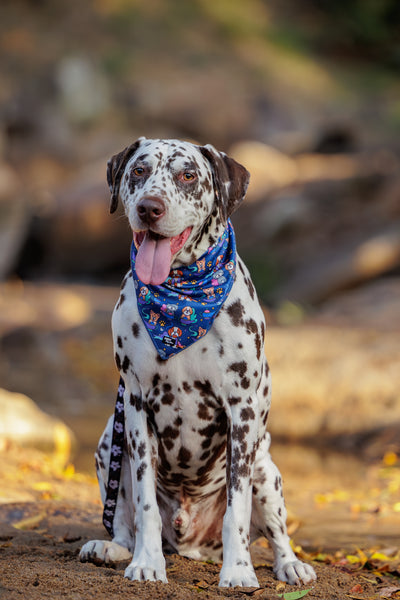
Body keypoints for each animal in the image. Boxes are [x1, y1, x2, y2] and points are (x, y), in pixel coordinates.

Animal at [79, 136, 316, 584]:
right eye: (139, 170)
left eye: (188, 175)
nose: (149, 207)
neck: (182, 299)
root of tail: (191, 542)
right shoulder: (135, 404)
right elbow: (145, 507)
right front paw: (147, 562)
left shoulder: (241, 411)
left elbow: (236, 510)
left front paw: (238, 570)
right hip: (108, 445)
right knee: (122, 523)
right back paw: (112, 548)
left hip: (266, 471)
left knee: (277, 533)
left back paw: (290, 564)